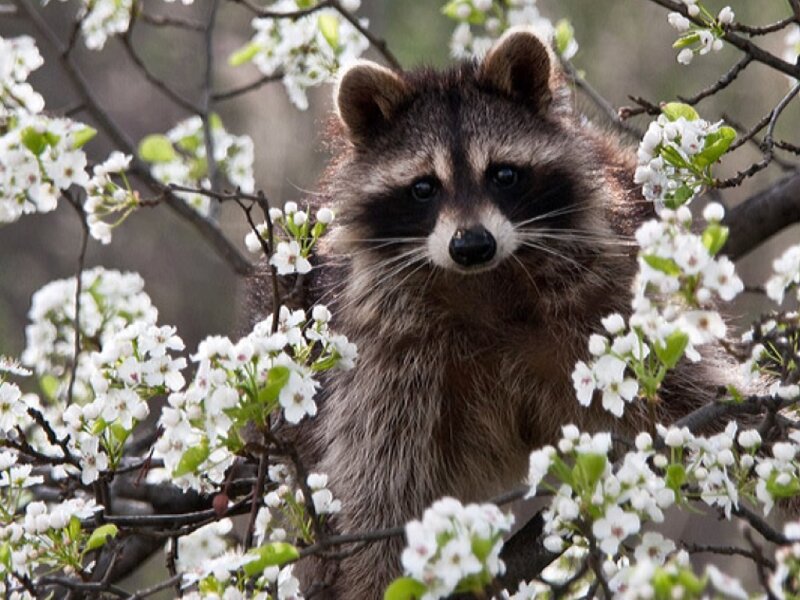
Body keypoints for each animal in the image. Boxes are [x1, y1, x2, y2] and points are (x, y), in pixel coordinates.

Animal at [260, 28, 730, 597]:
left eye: (503, 174)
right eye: (424, 187)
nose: (472, 245)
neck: (484, 282)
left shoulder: (605, 289)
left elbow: (684, 388)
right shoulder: (380, 355)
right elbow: (378, 489)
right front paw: (377, 575)